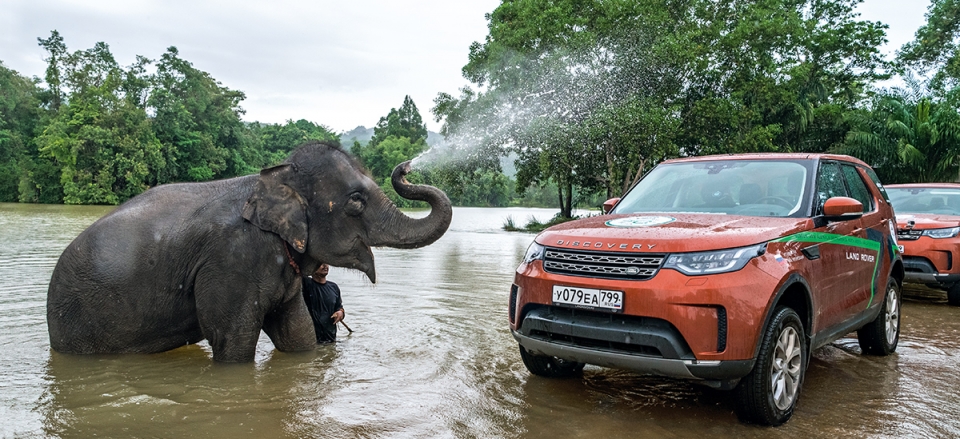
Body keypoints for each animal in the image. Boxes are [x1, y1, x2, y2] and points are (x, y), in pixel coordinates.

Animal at [50, 143, 456, 362]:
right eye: (356, 201)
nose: (406, 166)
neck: (274, 179)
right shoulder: (231, 260)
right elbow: (233, 343)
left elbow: (298, 334)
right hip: (80, 324)